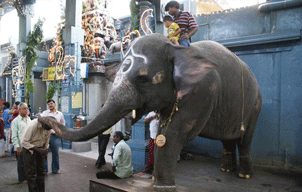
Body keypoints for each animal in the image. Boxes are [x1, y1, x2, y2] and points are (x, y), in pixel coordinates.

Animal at [39, 33, 262, 191]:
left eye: (143, 79)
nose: (41, 119)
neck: (177, 49)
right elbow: (164, 131)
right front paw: (156, 179)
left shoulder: (202, 92)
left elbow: (174, 134)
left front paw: (162, 186)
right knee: (228, 139)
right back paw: (226, 169)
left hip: (255, 105)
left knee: (245, 139)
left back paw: (244, 175)